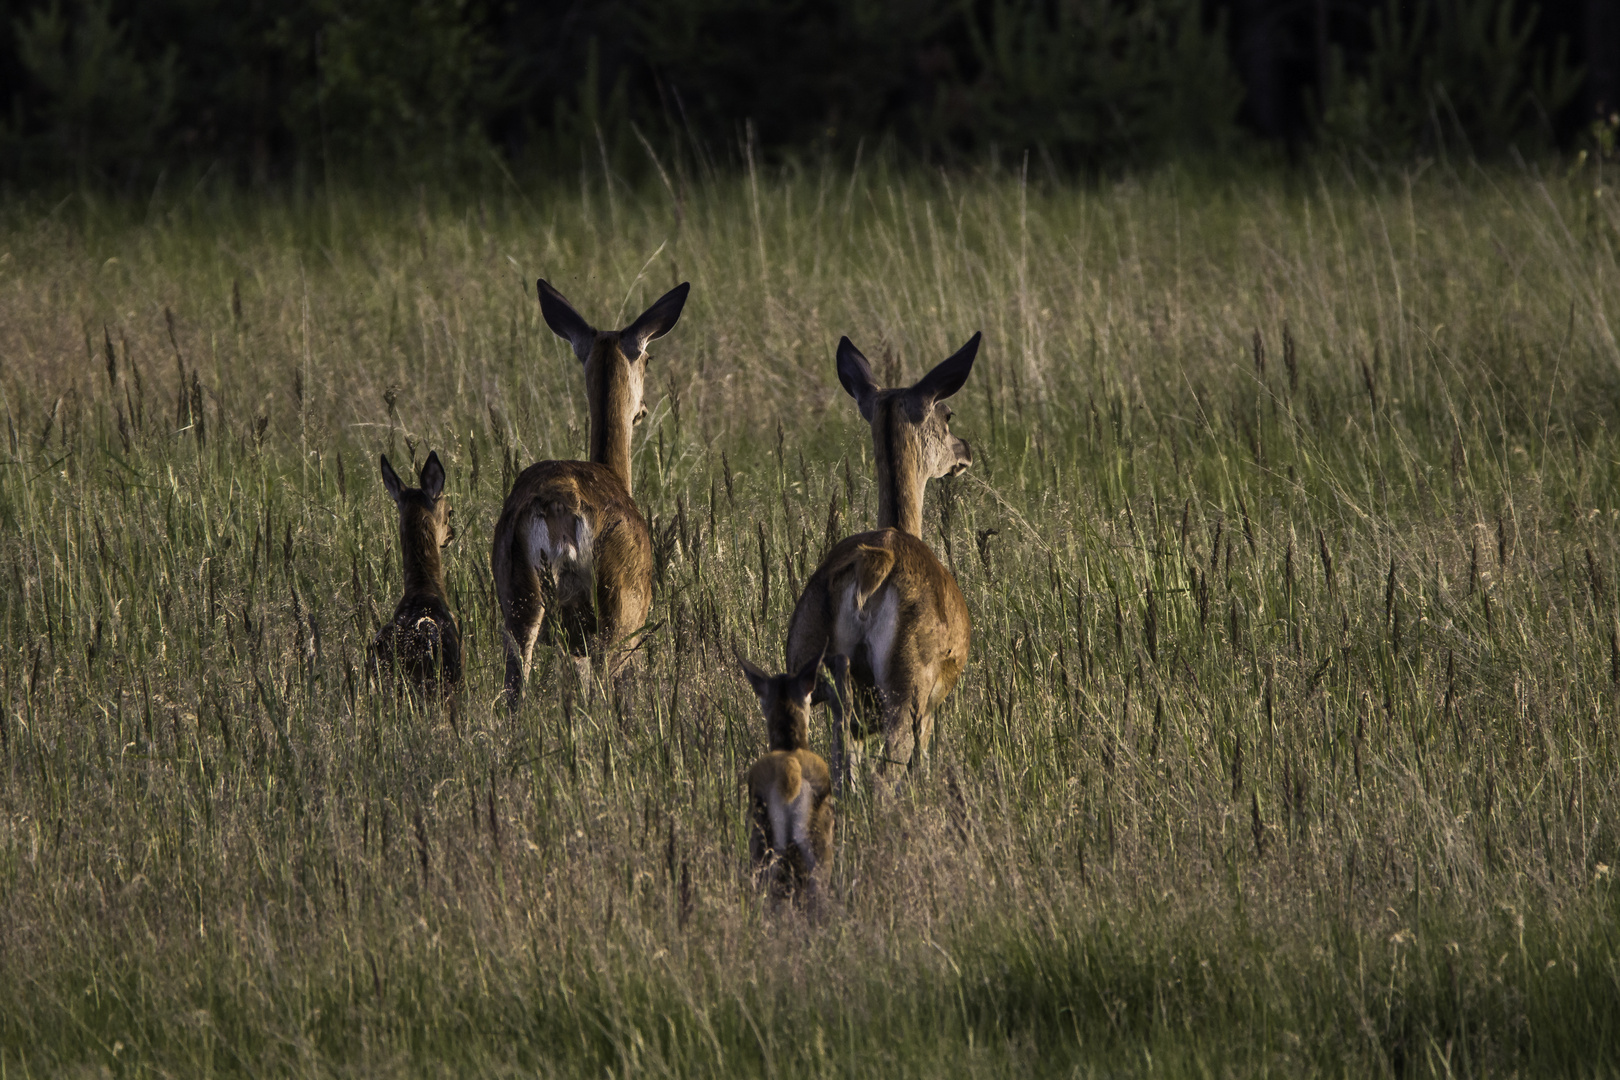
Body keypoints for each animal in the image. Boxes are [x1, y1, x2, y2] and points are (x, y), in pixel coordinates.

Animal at [495, 281, 693, 709]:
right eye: (648, 359)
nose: (643, 410)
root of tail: (559, 502)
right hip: (618, 605)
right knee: (603, 682)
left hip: (516, 593)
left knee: (515, 683)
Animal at [780, 330, 972, 786]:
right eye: (948, 414)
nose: (966, 450)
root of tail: (874, 567)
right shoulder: (931, 705)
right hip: (905, 685)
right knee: (890, 768)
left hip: (819, 677)